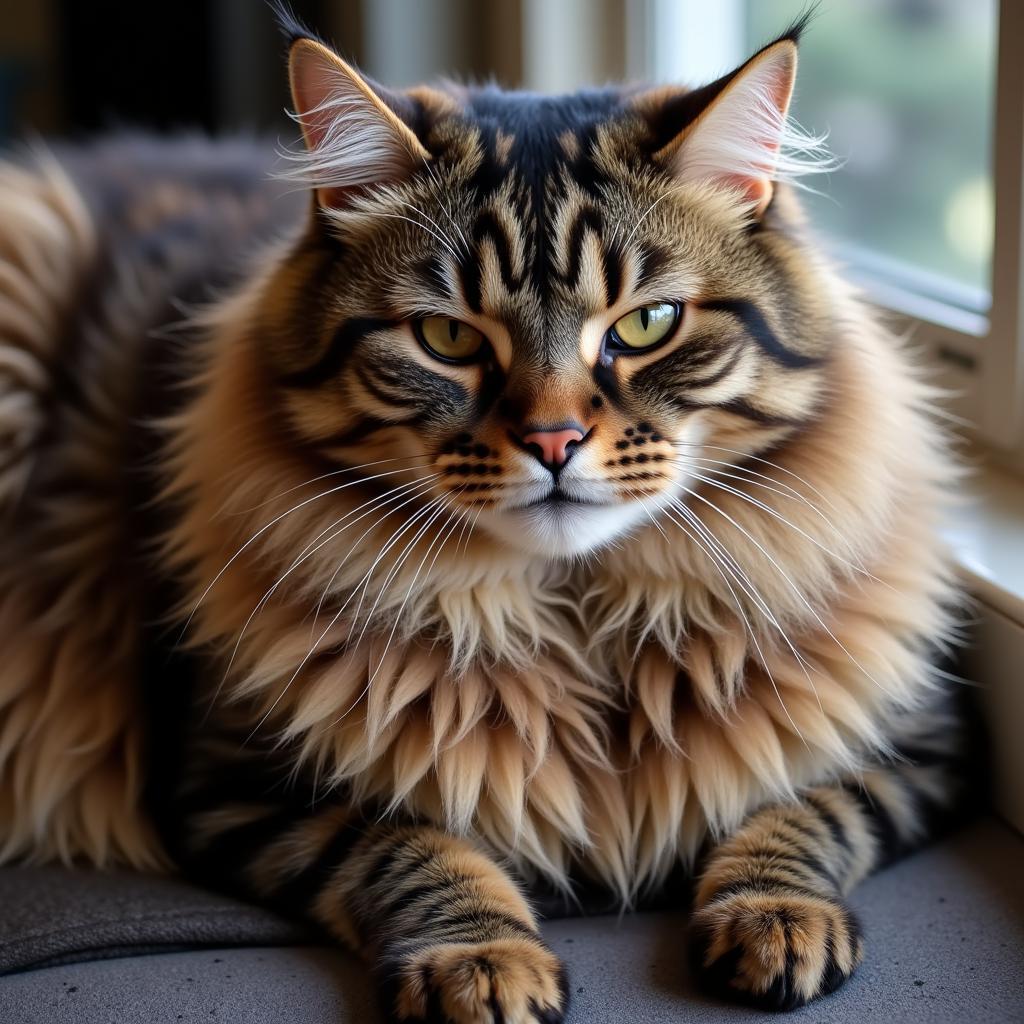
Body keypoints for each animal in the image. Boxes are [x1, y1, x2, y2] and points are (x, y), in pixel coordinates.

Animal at [0, 12, 966, 1019]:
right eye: (449, 338)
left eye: (648, 323)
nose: (553, 439)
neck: (578, 624)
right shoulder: (232, 783)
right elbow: (410, 848)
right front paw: (482, 961)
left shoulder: (915, 752)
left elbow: (804, 811)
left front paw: (775, 917)